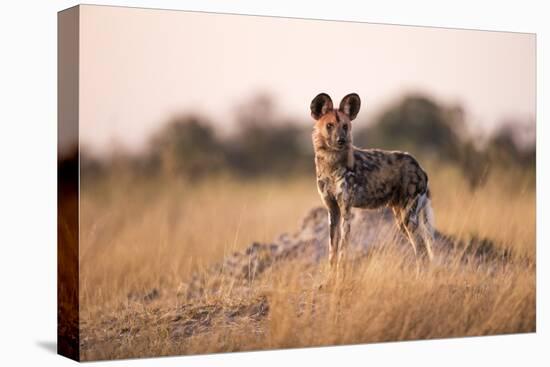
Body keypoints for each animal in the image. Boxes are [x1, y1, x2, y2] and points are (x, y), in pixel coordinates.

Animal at [310, 93, 436, 272]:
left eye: (345, 126)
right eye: (329, 125)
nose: (341, 140)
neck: (331, 164)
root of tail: (420, 167)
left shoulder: (346, 211)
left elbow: (342, 254)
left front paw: (340, 277)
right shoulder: (333, 211)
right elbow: (332, 254)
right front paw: (330, 278)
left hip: (408, 218)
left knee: (422, 252)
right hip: (401, 219)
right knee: (423, 251)